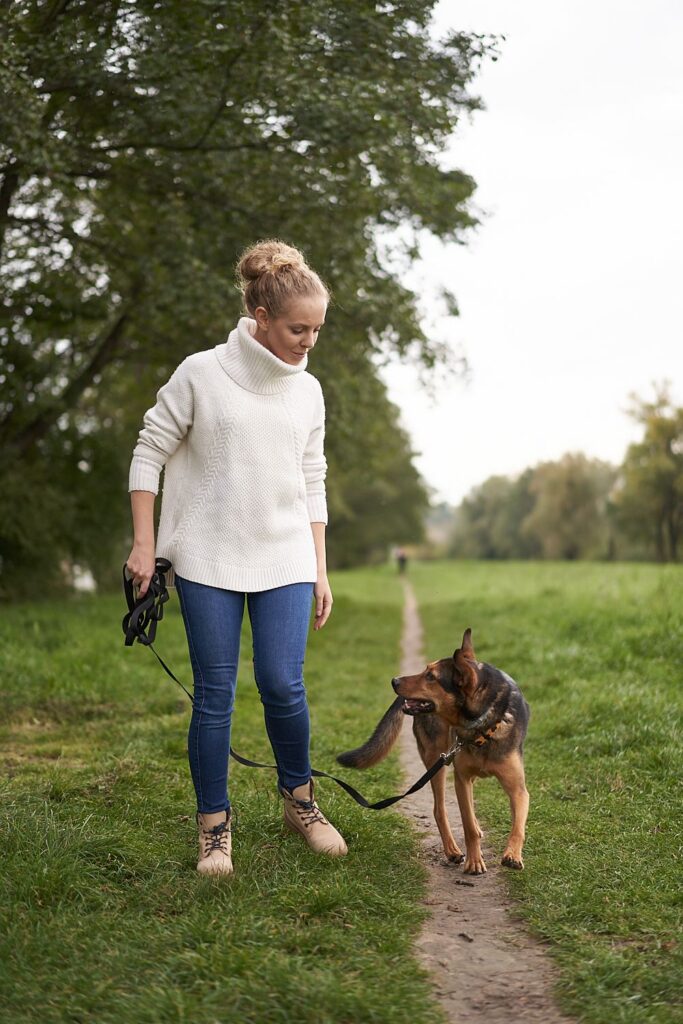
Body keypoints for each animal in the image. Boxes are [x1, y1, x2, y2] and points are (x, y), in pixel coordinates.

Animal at [337, 629, 530, 874]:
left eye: (431, 676)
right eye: (425, 671)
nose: (394, 680)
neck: (482, 726)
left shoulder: (518, 789)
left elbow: (518, 825)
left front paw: (513, 855)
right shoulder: (461, 780)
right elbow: (467, 825)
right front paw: (474, 861)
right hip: (436, 761)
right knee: (439, 810)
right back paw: (452, 850)